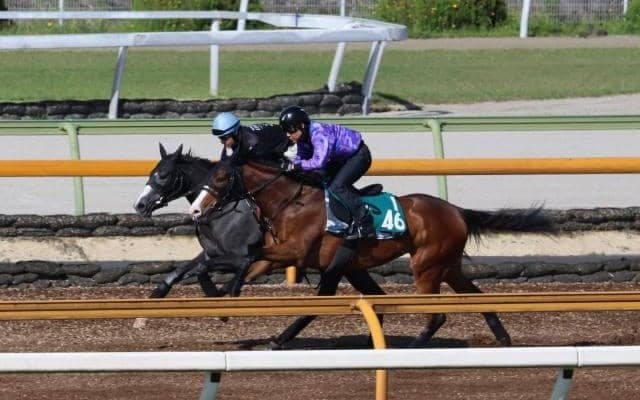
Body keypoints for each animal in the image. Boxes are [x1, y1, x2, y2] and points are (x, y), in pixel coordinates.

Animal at [133, 143, 387, 343]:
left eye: (164, 175)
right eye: (152, 172)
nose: (140, 205)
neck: (223, 210)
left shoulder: (242, 256)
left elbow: (209, 273)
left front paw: (219, 301)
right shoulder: (213, 252)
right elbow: (177, 273)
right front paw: (142, 315)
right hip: (353, 267)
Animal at [189, 160, 558, 347]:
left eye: (220, 177)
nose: (195, 210)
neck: (291, 202)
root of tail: (457, 211)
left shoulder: (298, 253)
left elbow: (251, 257)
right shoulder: (292, 256)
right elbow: (251, 259)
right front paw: (221, 296)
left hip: (426, 265)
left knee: (438, 313)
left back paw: (413, 347)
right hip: (449, 265)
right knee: (476, 296)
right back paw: (503, 338)